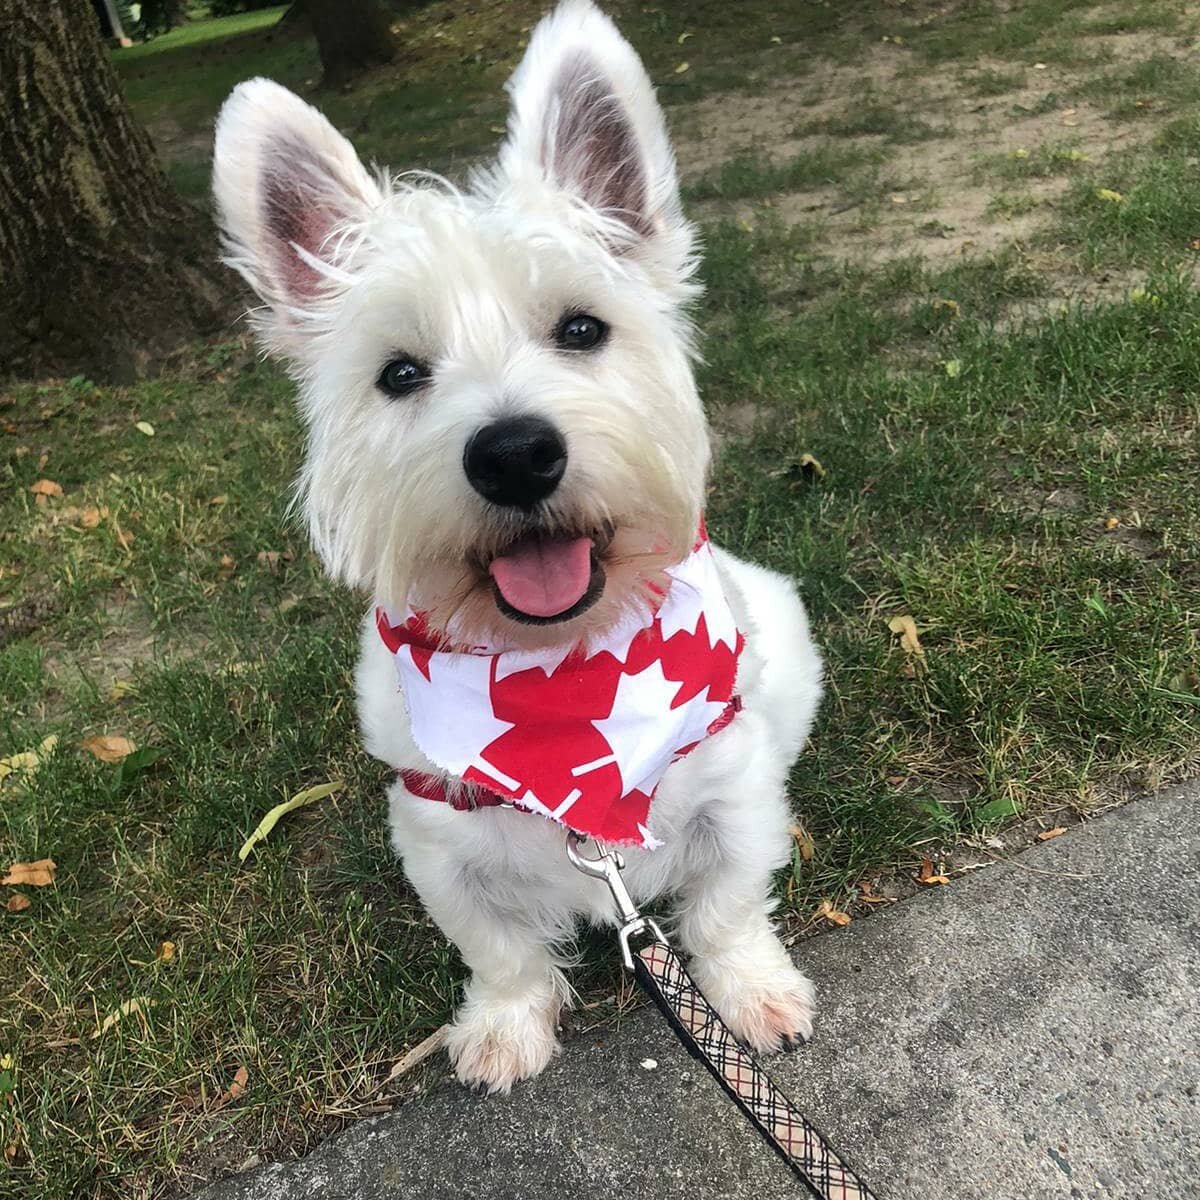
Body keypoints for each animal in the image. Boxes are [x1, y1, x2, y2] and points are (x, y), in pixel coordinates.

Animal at [211, 0, 820, 1094]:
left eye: (581, 328)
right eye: (399, 372)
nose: (515, 454)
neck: (561, 679)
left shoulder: (733, 797)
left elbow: (726, 911)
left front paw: (753, 997)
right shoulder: (439, 837)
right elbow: (499, 950)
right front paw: (503, 1029)